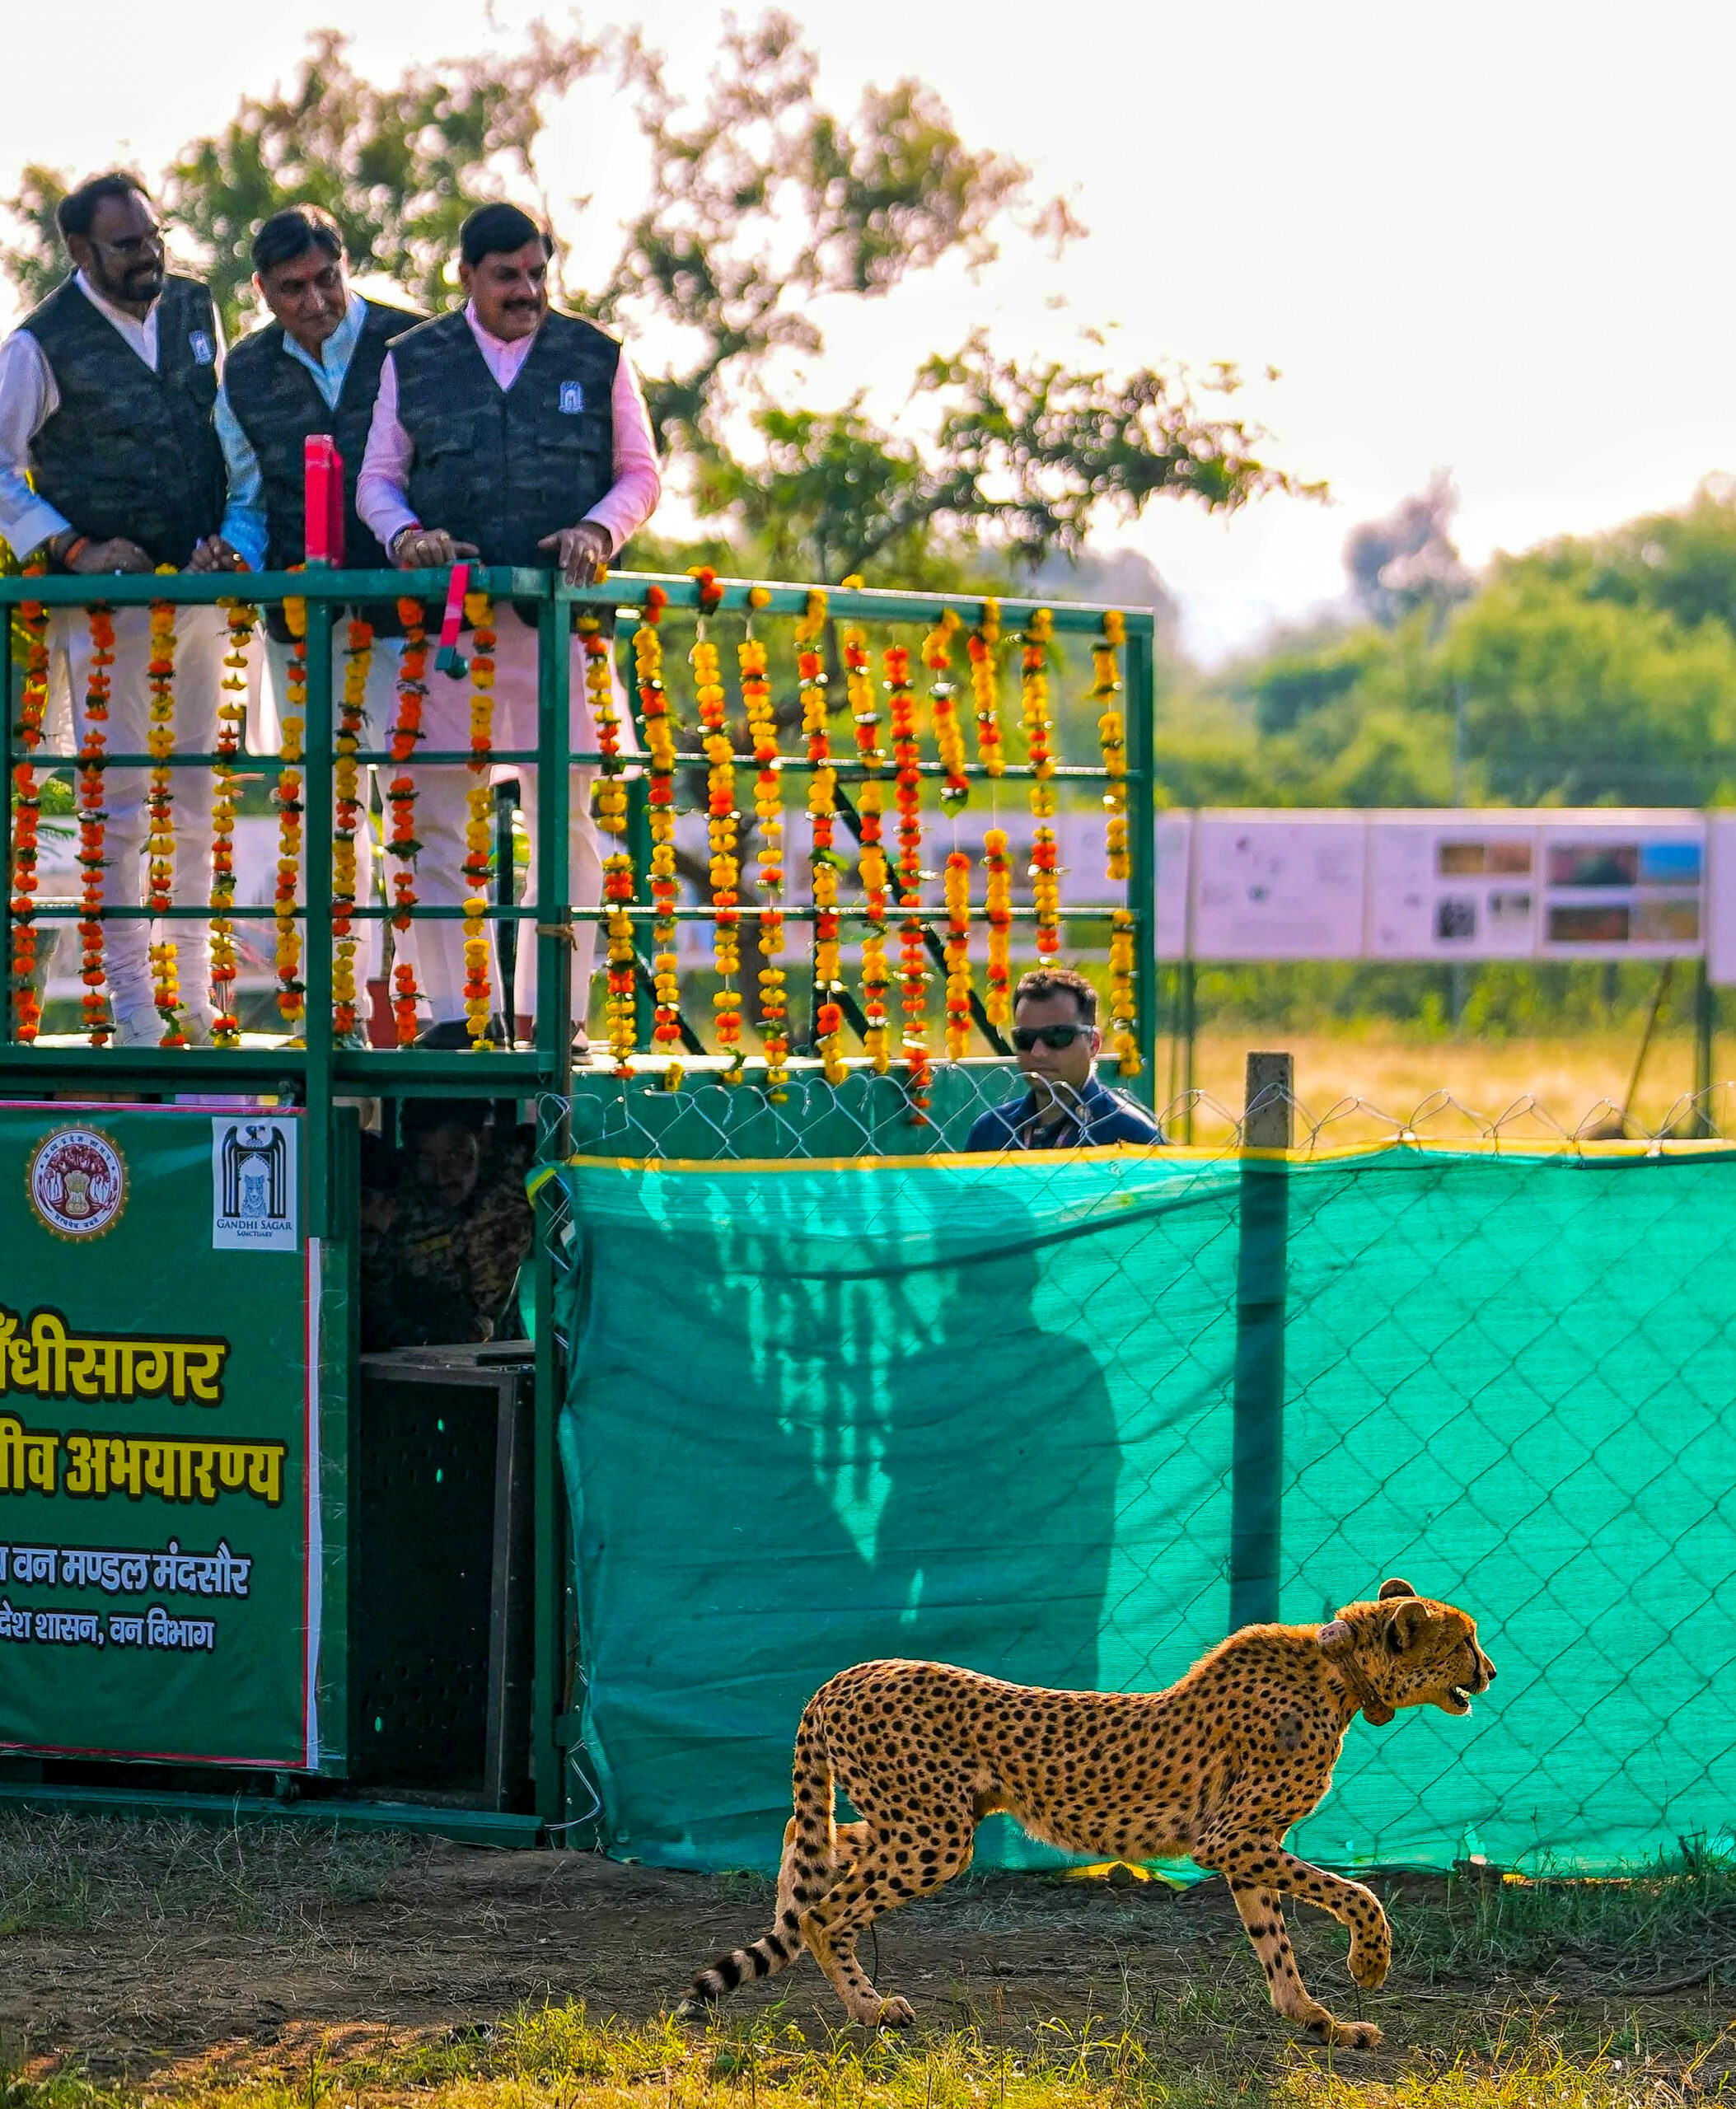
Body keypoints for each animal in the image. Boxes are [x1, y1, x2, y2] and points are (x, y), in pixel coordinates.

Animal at [677, 1578, 1495, 2049]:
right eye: (1463, 1639)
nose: (1489, 1670)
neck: (1340, 1671)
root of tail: (844, 1675)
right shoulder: (1230, 1838)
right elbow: (1354, 1892)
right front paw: (1368, 1964)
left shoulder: (1246, 1848)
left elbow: (1275, 1945)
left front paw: (1315, 2020)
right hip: (935, 1835)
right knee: (825, 1910)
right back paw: (868, 2010)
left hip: (911, 1821)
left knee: (809, 1842)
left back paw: (801, 1937)